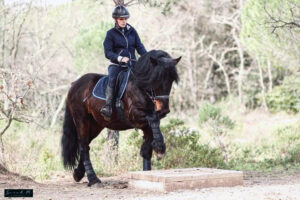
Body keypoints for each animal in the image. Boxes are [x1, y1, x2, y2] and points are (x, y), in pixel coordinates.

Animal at [61, 49, 180, 187]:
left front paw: (147, 172)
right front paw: (160, 148)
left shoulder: (147, 124)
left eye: (171, 80)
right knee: (84, 146)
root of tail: (75, 84)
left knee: (86, 145)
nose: (165, 109)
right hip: (82, 121)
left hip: (95, 125)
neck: (140, 87)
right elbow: (153, 119)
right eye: (156, 79)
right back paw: (93, 179)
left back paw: (78, 174)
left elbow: (146, 149)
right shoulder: (134, 115)